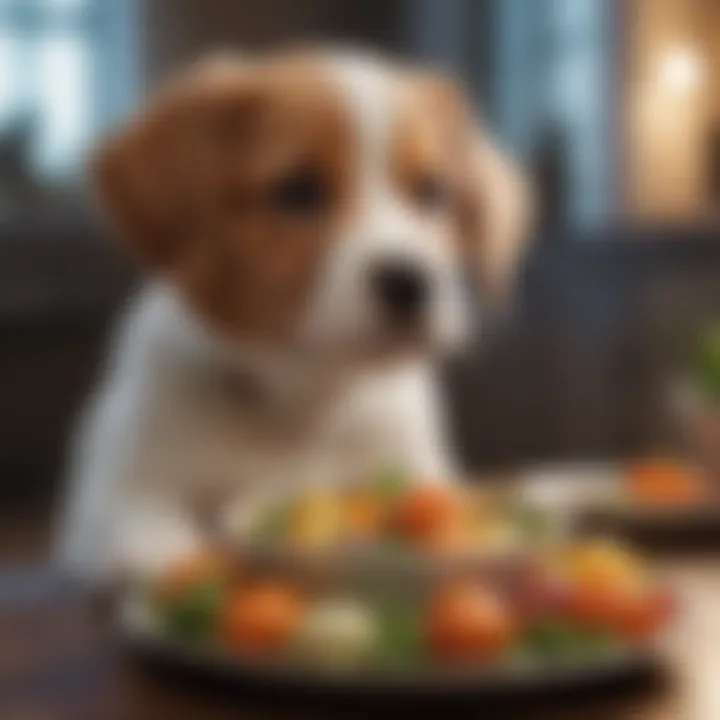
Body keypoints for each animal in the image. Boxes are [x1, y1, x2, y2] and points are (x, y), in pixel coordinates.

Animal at [56, 49, 532, 584]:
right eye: (298, 190)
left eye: (432, 190)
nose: (411, 282)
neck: (308, 399)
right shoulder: (121, 496)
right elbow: (157, 543)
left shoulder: (415, 468)